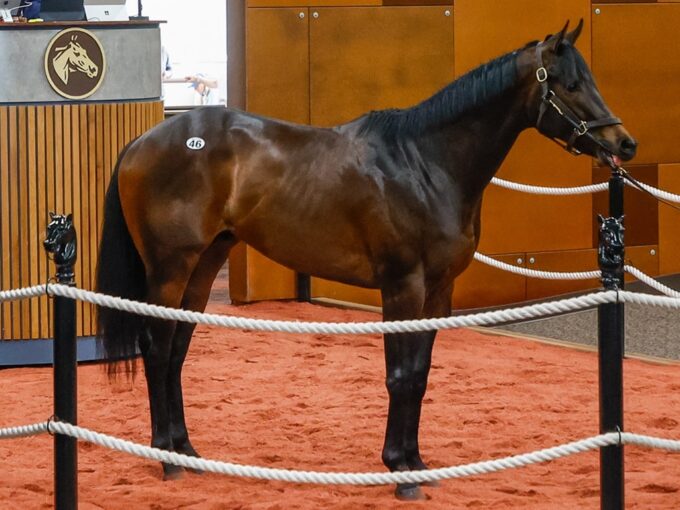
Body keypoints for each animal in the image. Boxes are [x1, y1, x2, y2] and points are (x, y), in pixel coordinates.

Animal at [97, 21, 636, 500]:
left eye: (590, 78)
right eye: (569, 84)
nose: (624, 144)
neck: (424, 163)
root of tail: (142, 141)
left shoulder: (438, 291)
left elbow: (419, 374)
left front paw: (415, 461)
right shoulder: (402, 286)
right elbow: (399, 375)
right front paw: (400, 472)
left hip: (204, 267)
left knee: (176, 353)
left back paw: (187, 451)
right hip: (170, 269)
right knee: (156, 348)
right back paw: (166, 458)